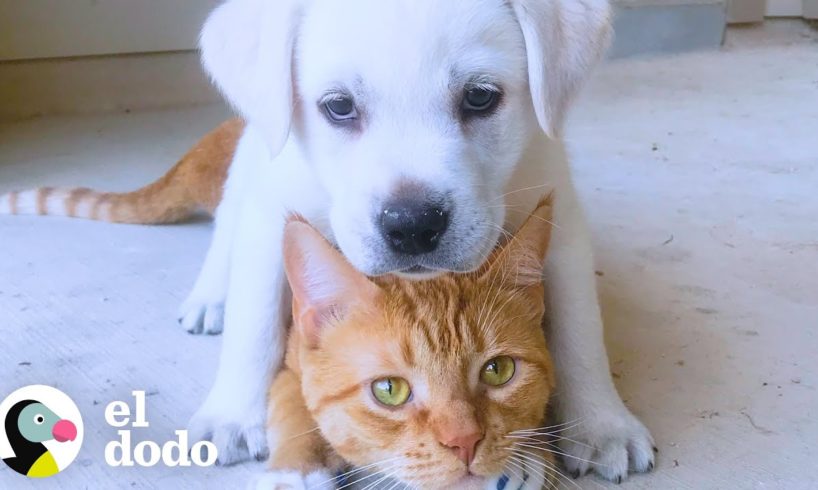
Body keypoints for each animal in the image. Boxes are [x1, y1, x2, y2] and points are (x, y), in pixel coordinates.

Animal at [260, 196, 556, 490]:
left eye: (498, 370)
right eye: (389, 389)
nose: (464, 442)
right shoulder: (290, 364)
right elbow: (291, 405)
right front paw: (295, 471)